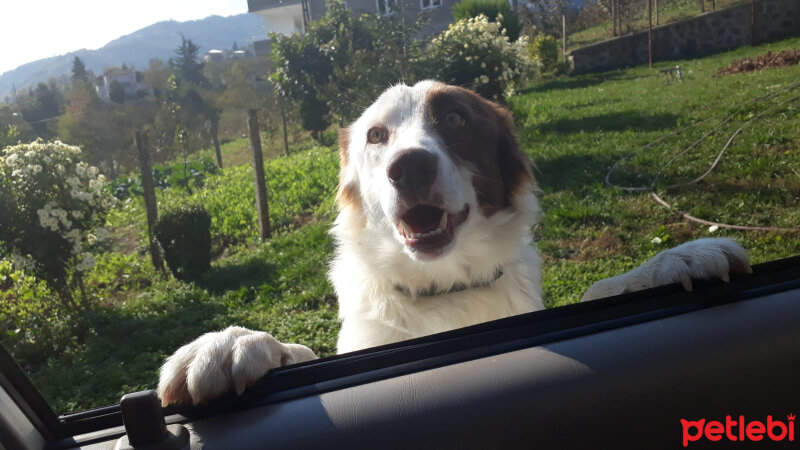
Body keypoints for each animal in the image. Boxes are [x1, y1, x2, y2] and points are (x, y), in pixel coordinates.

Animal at [156, 81, 752, 408]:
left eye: (456, 118)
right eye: (377, 136)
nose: (409, 167)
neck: (445, 287)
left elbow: (600, 289)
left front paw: (675, 259)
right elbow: (301, 352)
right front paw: (231, 343)